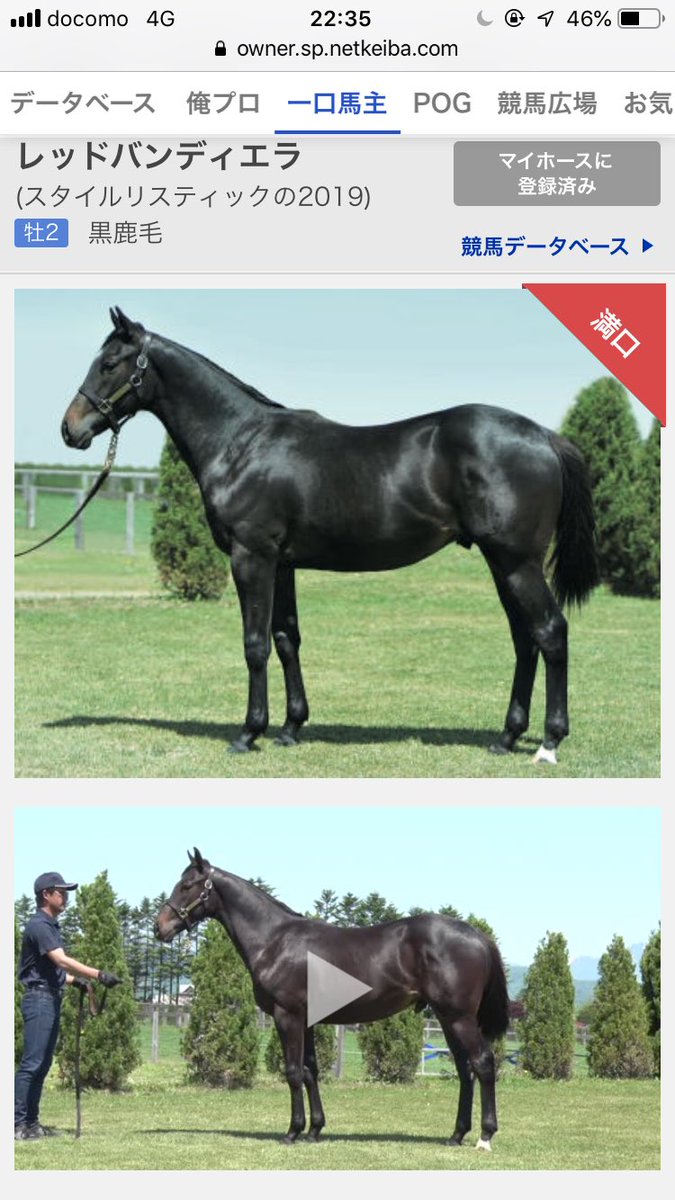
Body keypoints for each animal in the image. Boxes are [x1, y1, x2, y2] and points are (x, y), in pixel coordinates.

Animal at [61, 307, 599, 763]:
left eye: (109, 363)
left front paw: (248, 733)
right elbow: (286, 639)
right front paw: (290, 728)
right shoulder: (282, 563)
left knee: (551, 633)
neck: (241, 442)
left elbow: (254, 644)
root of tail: (544, 435)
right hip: (501, 562)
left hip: (517, 562)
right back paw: (506, 736)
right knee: (525, 639)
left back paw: (549, 741)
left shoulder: (251, 557)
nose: (70, 429)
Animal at [155, 849, 510, 1149]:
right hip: (447, 1018)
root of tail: (478, 936)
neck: (275, 940)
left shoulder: (287, 1015)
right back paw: (456, 1135)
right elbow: (310, 1071)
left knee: (483, 1063)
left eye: (187, 885)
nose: (160, 927)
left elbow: (293, 1072)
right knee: (465, 1069)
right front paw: (314, 1129)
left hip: (459, 1017)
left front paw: (292, 1131)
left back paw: (485, 1136)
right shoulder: (307, 1020)